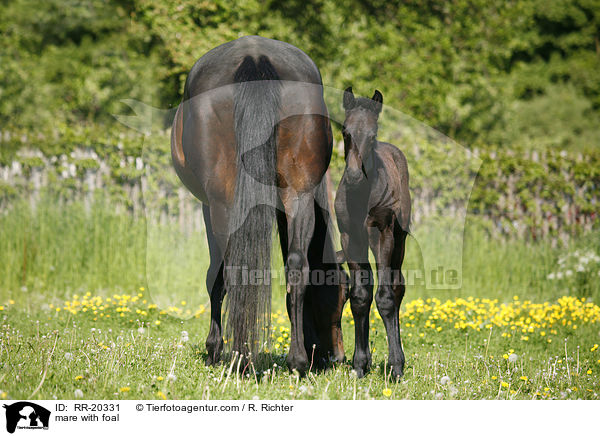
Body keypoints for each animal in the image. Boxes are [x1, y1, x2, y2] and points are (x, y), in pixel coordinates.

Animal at [336, 86, 410, 378]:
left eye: (372, 134)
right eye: (345, 130)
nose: (355, 176)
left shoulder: (382, 234)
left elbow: (385, 297)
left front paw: (396, 366)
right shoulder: (349, 237)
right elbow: (360, 296)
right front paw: (359, 364)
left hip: (399, 240)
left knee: (397, 286)